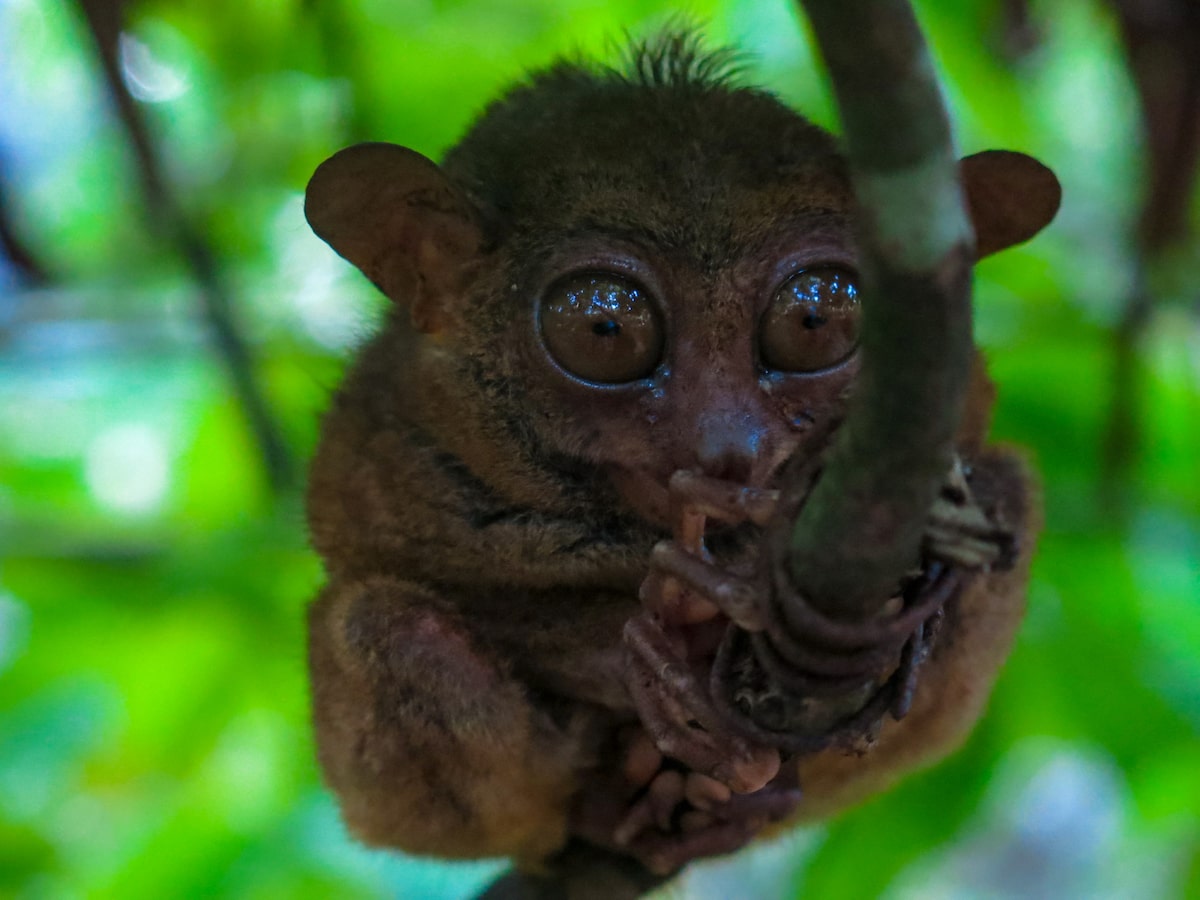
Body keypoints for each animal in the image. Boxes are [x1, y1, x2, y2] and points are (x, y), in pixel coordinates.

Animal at [302, 32, 1060, 890]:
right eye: (603, 329)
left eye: (817, 318)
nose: (728, 447)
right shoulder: (381, 446)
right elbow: (444, 582)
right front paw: (668, 634)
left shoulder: (953, 395)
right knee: (385, 625)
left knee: (1011, 491)